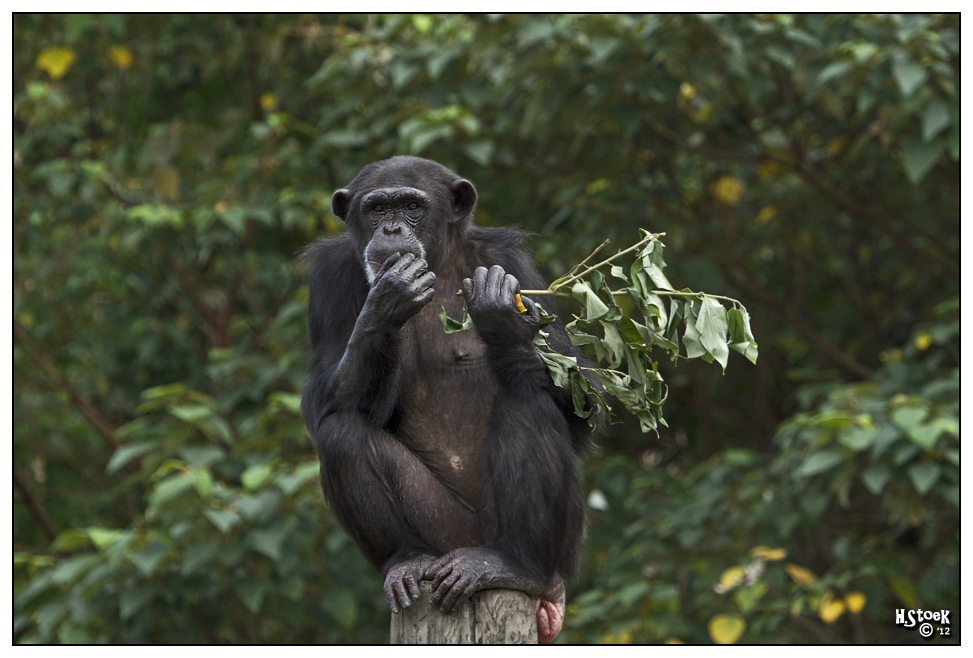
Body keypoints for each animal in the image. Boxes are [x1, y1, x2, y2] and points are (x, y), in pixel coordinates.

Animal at [302, 155, 592, 640]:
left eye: (412, 206)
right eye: (376, 208)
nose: (392, 230)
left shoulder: (511, 265)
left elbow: (583, 399)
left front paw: (503, 319)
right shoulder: (330, 278)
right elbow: (322, 398)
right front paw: (386, 301)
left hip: (559, 547)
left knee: (529, 403)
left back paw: (520, 566)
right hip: (444, 532)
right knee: (340, 431)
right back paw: (404, 560)